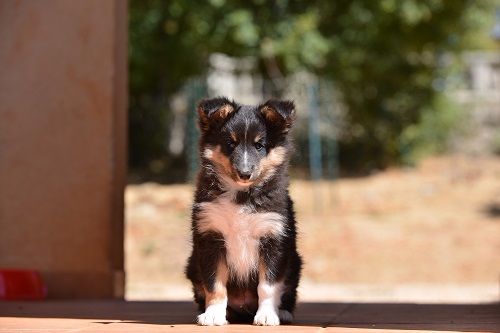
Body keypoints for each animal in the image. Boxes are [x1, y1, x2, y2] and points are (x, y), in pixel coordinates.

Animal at [184, 96, 300, 324]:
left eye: (259, 145)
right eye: (231, 143)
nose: (244, 173)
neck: (241, 195)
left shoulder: (273, 239)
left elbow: (268, 285)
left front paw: (267, 316)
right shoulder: (210, 237)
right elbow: (215, 284)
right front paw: (213, 315)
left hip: (295, 263)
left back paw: (283, 312)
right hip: (192, 265)